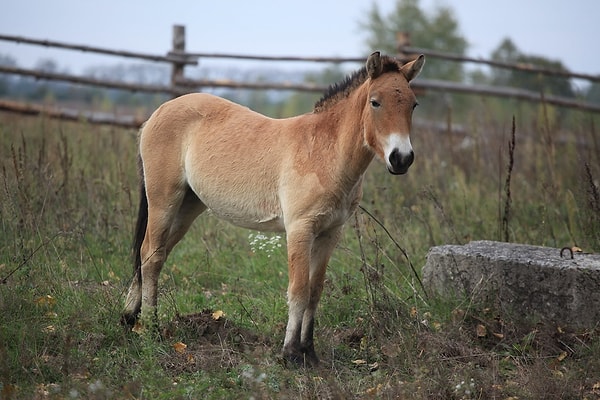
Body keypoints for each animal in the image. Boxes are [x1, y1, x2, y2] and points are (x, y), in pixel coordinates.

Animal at [123, 51, 422, 368]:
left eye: (413, 104)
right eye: (375, 102)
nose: (401, 158)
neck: (323, 153)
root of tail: (158, 112)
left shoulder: (330, 233)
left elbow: (315, 291)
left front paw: (309, 352)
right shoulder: (300, 229)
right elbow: (299, 290)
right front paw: (290, 353)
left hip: (187, 207)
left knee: (154, 253)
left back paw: (130, 318)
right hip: (163, 200)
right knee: (151, 255)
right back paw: (151, 329)